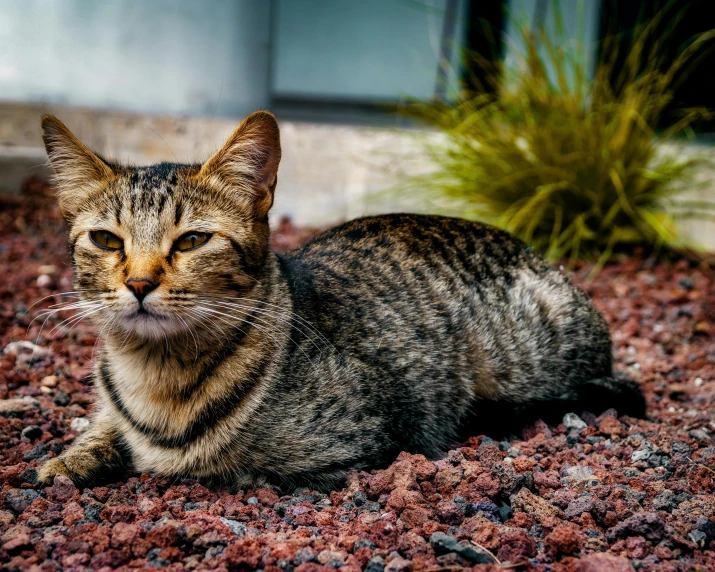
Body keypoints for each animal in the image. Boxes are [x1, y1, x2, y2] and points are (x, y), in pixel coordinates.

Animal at [36, 111, 648, 492]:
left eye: (191, 241)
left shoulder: (375, 434)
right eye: (106, 240)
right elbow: (100, 428)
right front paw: (67, 459)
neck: (154, 378)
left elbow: (234, 470)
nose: (139, 284)